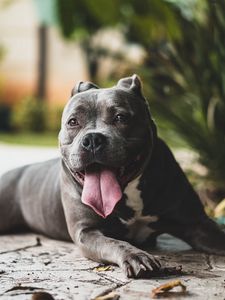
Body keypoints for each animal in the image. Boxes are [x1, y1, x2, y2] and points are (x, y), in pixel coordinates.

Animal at [0, 74, 225, 276]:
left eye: (120, 118)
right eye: (73, 122)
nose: (92, 139)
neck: (129, 192)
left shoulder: (197, 224)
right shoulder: (87, 232)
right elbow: (114, 242)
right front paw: (136, 256)